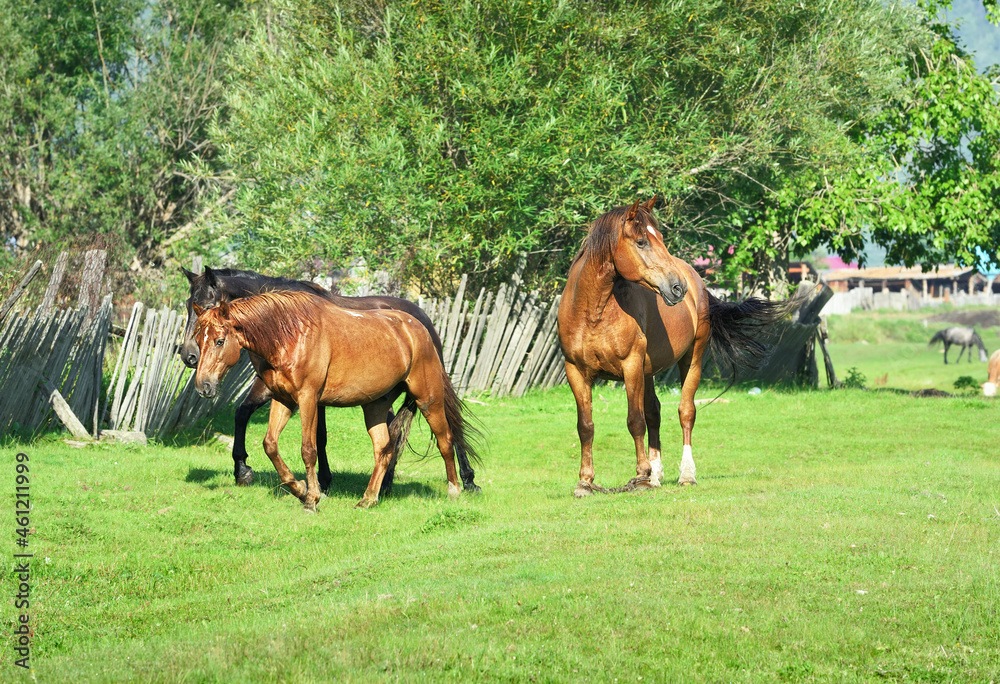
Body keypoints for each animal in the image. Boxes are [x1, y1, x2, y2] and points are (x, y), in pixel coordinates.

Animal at [179, 266, 479, 495]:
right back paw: (385, 482)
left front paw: (322, 482)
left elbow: (318, 436)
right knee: (391, 430)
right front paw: (242, 470)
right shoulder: (274, 388)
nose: (188, 356)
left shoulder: (309, 394)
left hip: (427, 386)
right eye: (188, 307)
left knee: (450, 424)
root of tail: (420, 317)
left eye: (208, 306)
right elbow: (242, 413)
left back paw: (467, 480)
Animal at [557, 197, 786, 497]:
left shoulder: (631, 365)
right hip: (648, 371)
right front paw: (585, 482)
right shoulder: (576, 371)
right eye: (641, 242)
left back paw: (685, 474)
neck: (593, 312)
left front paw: (640, 476)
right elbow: (586, 426)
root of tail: (697, 280)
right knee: (654, 412)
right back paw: (655, 474)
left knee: (685, 412)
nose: (678, 287)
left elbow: (635, 421)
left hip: (690, 361)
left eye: (661, 238)